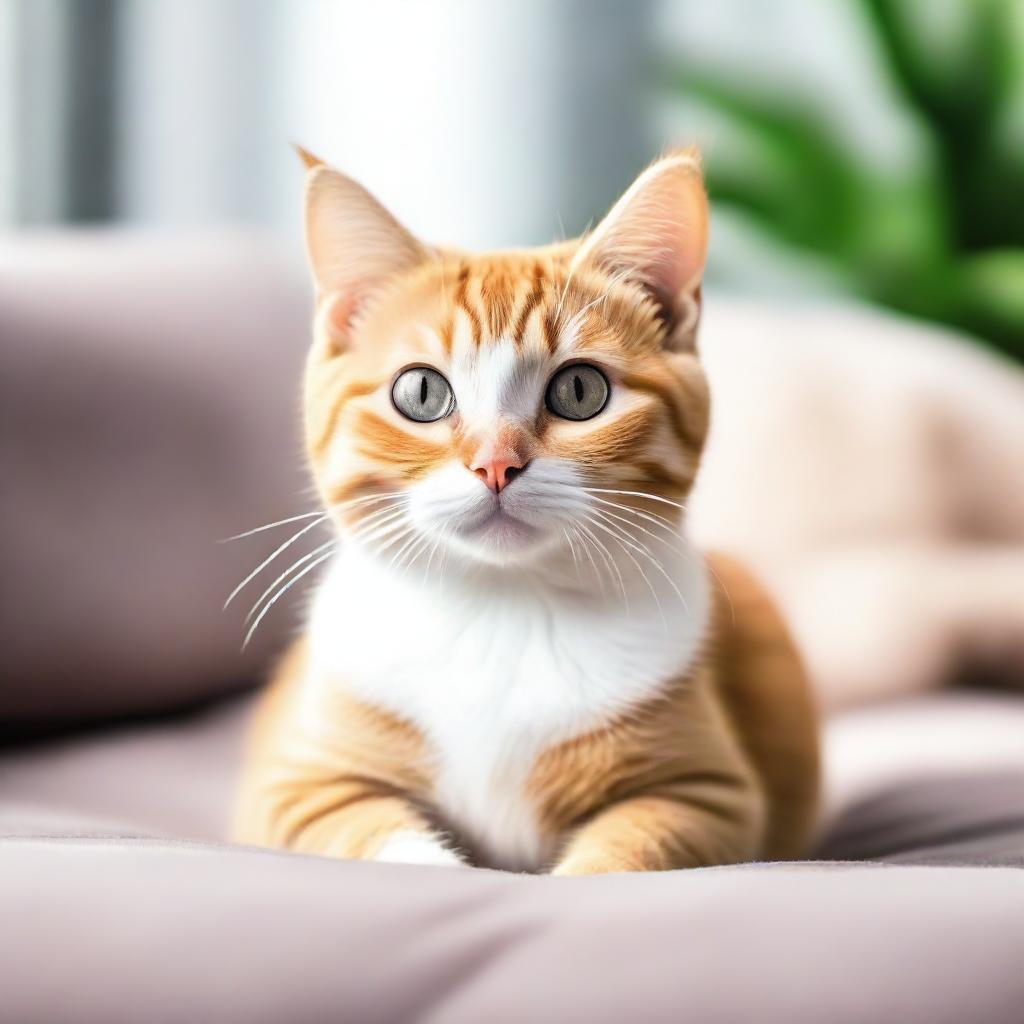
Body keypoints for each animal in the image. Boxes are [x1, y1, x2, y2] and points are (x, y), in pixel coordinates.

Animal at [230, 148, 815, 876]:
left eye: (580, 390)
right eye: (421, 392)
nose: (496, 464)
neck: (502, 610)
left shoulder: (711, 793)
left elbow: (630, 851)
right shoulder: (294, 786)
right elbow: (385, 845)